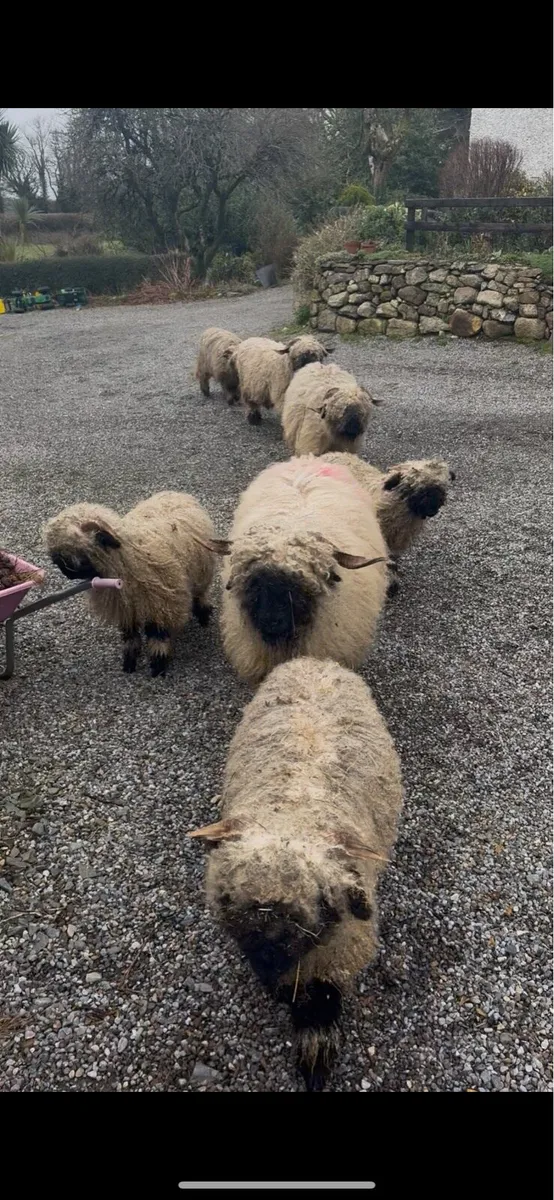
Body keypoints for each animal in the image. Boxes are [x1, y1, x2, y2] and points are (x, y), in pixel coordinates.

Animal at [44, 491, 217, 676]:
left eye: (77, 549)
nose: (65, 572)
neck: (129, 557)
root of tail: (175, 493)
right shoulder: (125, 608)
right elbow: (130, 635)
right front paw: (129, 661)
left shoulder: (162, 605)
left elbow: (158, 634)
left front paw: (158, 664)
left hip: (201, 573)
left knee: (200, 593)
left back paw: (203, 616)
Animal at [188, 655, 403, 1091]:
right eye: (228, 900)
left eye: (319, 903)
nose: (268, 970)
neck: (294, 811)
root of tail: (313, 660)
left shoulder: (339, 947)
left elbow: (321, 1001)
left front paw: (315, 1057)